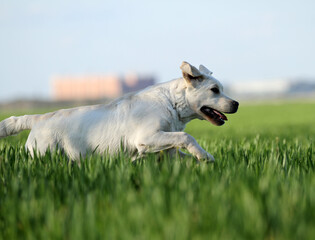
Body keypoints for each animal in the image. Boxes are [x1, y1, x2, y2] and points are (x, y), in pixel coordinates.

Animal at [0, 61, 238, 161]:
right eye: (215, 90)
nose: (236, 103)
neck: (171, 104)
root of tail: (38, 118)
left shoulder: (165, 147)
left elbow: (182, 152)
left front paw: (206, 159)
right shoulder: (146, 138)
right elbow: (186, 136)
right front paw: (203, 155)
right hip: (43, 153)